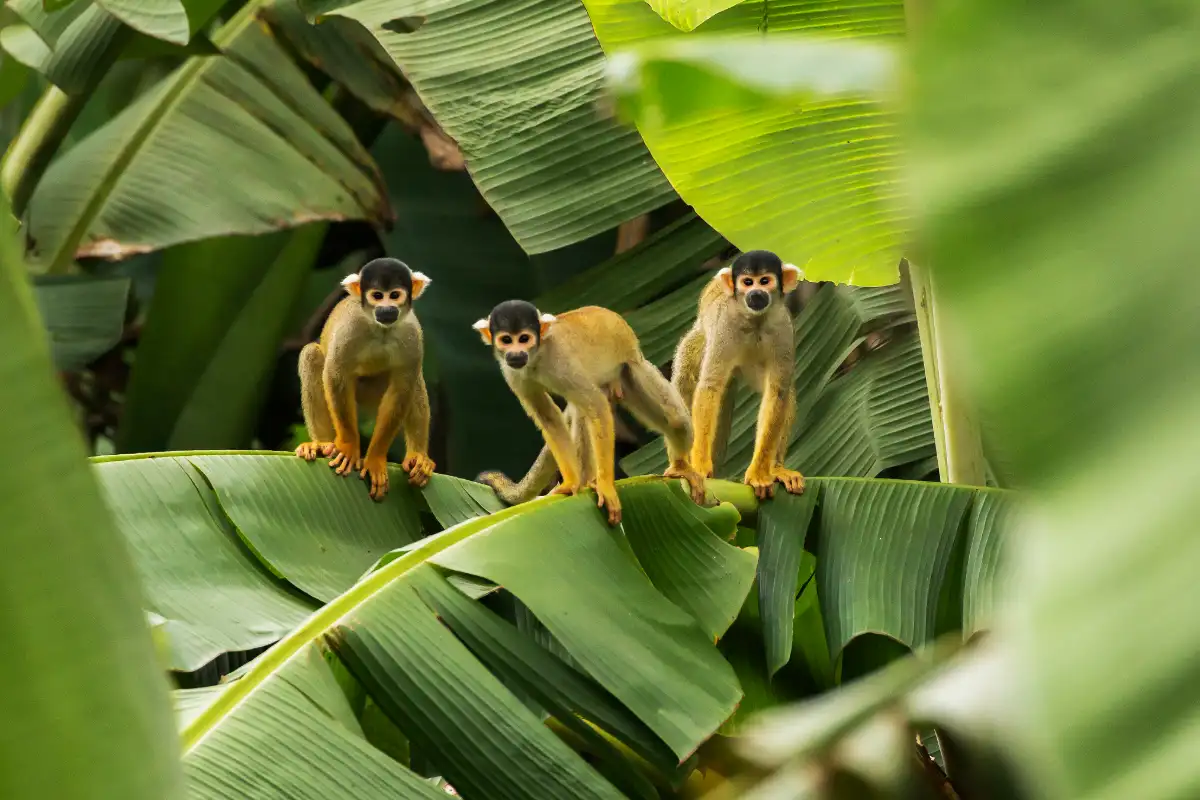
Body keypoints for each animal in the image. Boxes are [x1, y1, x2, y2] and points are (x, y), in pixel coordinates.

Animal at [294, 257, 436, 500]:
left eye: (394, 295)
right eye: (377, 295)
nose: (387, 308)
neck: (382, 330)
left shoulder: (412, 333)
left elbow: (402, 388)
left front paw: (375, 459)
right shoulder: (350, 328)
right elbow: (336, 374)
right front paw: (349, 447)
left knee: (414, 381)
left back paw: (418, 457)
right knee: (312, 355)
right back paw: (322, 444)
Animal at [471, 300, 705, 525]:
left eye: (524, 338)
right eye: (506, 340)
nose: (516, 353)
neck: (536, 356)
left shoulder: (561, 362)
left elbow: (597, 406)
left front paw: (606, 487)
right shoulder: (511, 372)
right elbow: (549, 418)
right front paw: (571, 483)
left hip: (631, 368)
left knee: (676, 421)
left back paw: (680, 466)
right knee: (583, 414)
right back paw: (584, 481)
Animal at [673, 250, 807, 500]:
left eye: (764, 281)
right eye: (747, 282)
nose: (756, 293)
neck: (755, 320)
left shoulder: (783, 328)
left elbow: (777, 393)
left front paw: (759, 474)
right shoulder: (725, 326)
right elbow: (710, 385)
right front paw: (700, 465)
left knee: (787, 392)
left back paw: (776, 468)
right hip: (702, 337)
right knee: (686, 379)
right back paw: (682, 466)